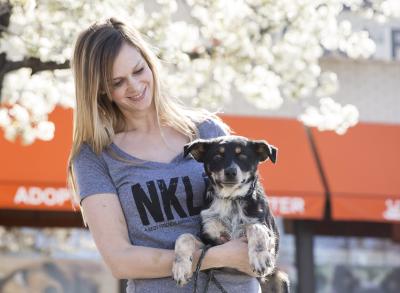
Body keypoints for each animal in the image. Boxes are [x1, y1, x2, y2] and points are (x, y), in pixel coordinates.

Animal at [173, 135, 290, 292]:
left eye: (242, 156)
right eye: (217, 156)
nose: (230, 172)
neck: (231, 199)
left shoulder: (269, 233)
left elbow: (255, 227)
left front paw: (259, 256)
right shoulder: (211, 243)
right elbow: (185, 236)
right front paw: (180, 267)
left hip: (280, 277)